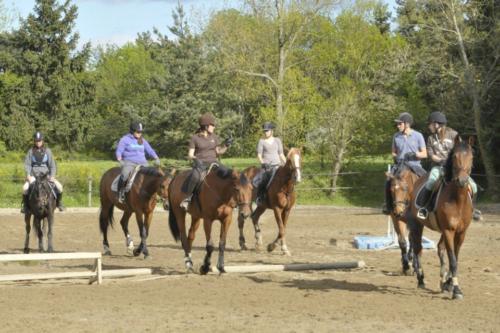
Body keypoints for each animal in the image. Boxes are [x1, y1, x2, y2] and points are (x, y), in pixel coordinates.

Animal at [408, 135, 474, 298]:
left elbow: (455, 257)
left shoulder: (460, 233)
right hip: (417, 225)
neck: (458, 200)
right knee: (418, 249)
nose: (462, 181)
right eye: (455, 156)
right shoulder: (449, 231)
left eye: (471, 157)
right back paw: (421, 279)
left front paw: (449, 283)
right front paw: (456, 289)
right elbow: (453, 260)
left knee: (439, 248)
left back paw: (443, 281)